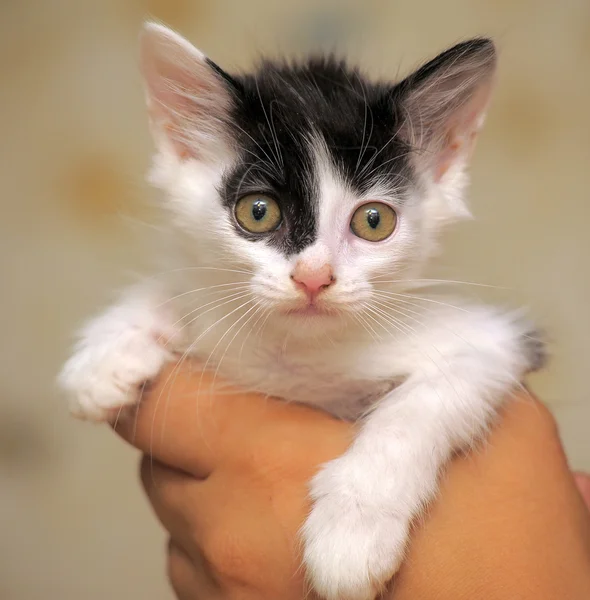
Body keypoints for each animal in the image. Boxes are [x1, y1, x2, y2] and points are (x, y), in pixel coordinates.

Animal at [59, 23, 544, 600]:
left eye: (374, 221)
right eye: (258, 212)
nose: (314, 277)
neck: (300, 351)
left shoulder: (493, 341)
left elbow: (421, 405)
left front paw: (352, 529)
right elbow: (187, 290)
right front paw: (107, 353)